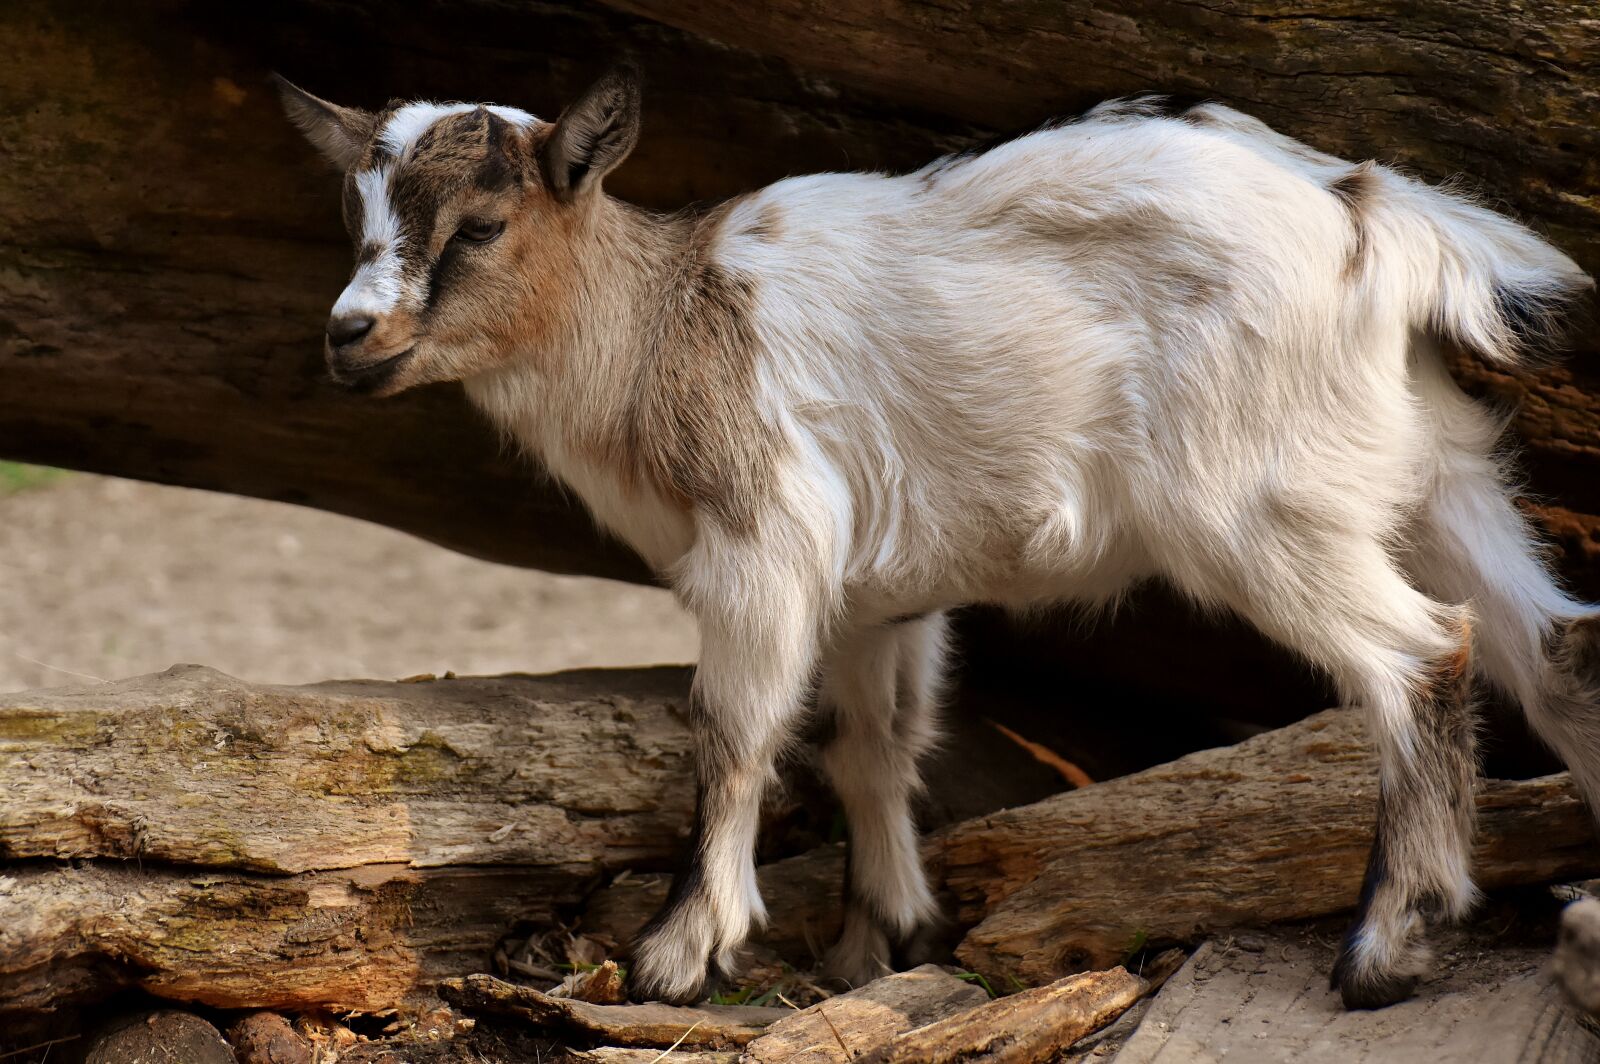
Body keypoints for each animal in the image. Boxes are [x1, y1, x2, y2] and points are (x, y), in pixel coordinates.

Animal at [278, 68, 1596, 1009]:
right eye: (356, 211)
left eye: (482, 224)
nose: (350, 337)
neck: (660, 326)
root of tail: (1373, 218)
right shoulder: (878, 594)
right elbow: (872, 742)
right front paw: (883, 937)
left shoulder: (763, 542)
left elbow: (732, 735)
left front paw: (680, 954)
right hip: (1432, 460)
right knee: (1554, 645)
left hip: (1256, 501)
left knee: (1419, 654)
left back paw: (1385, 947)